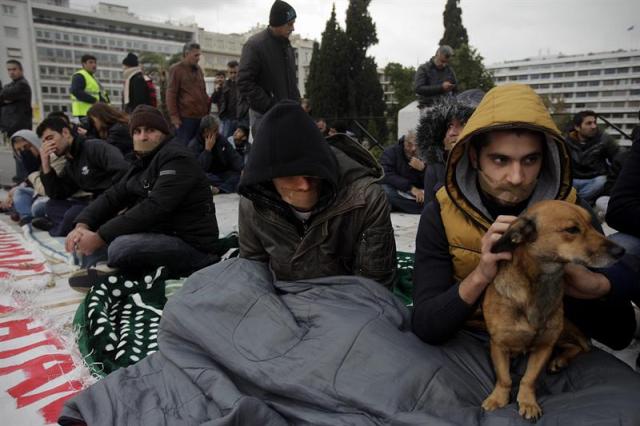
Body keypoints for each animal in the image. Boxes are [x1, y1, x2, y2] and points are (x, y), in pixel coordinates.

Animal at [480, 200, 624, 420]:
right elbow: (504, 378)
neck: (541, 284)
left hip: (561, 331)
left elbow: (529, 378)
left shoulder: (545, 345)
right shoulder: (499, 344)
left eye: (592, 224)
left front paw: (528, 401)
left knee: (580, 346)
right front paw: (498, 398)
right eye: (572, 230)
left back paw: (560, 361)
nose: (621, 251)